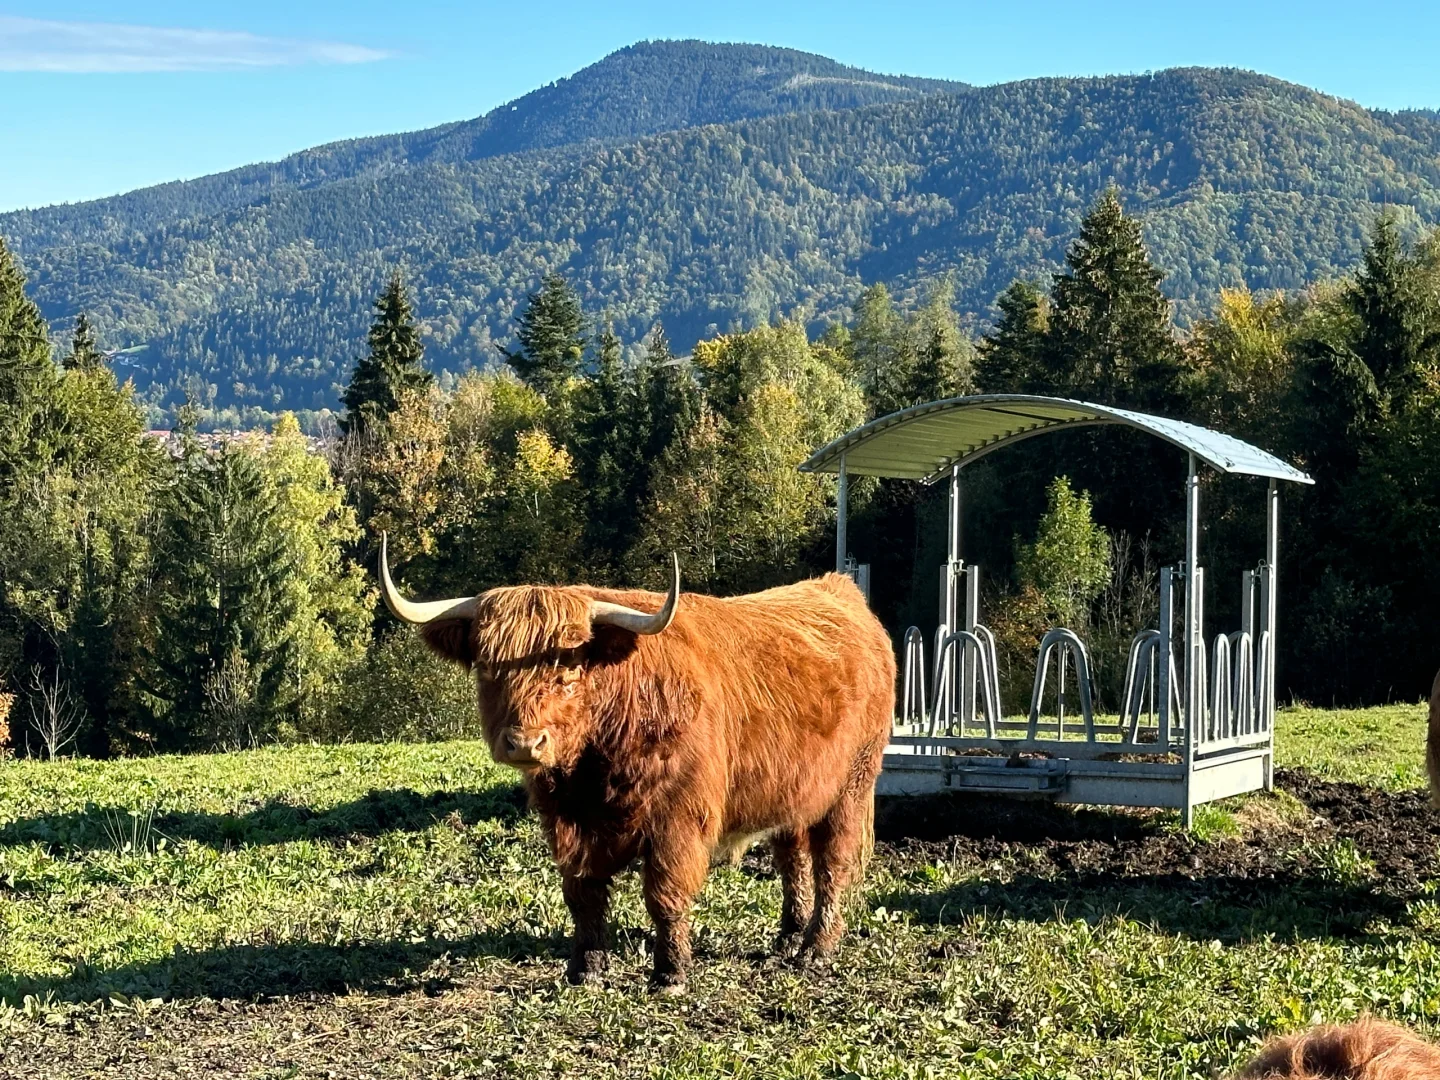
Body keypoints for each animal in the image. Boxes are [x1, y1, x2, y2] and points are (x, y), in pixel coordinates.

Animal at [378, 535, 896, 993]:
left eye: (569, 670)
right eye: (487, 667)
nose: (524, 742)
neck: (594, 767)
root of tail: (838, 591)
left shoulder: (677, 820)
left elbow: (664, 893)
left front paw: (671, 973)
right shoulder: (566, 821)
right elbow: (583, 894)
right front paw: (585, 969)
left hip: (852, 787)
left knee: (832, 864)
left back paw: (816, 948)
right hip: (794, 791)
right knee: (793, 858)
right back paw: (787, 938)